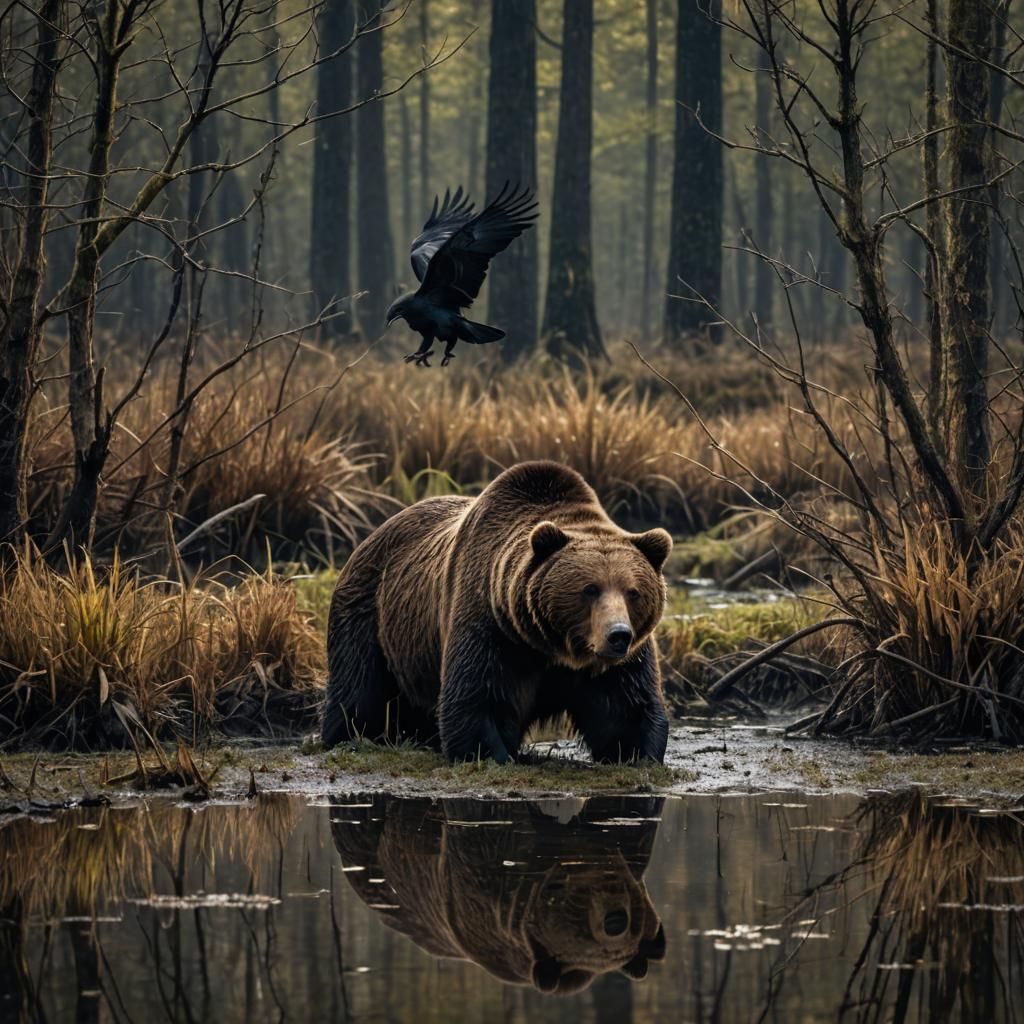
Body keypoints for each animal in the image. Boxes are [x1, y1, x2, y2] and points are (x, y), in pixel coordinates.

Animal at [322, 460, 672, 763]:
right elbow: (477, 697)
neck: (550, 645)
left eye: (632, 592)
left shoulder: (619, 661)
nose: (618, 635)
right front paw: (491, 754)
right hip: (370, 614)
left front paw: (636, 754)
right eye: (590, 589)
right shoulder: (491, 625)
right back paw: (346, 737)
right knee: (358, 688)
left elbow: (625, 706)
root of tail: (371, 535)